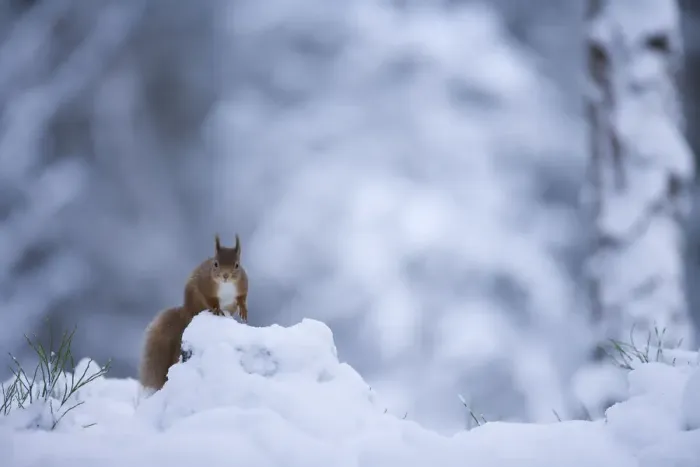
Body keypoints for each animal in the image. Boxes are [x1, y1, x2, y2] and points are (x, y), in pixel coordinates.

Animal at [138, 233, 249, 392]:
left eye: (237, 265)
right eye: (215, 264)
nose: (225, 275)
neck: (225, 285)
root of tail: (187, 312)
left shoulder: (242, 286)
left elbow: (242, 298)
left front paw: (244, 310)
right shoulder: (205, 285)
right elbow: (210, 299)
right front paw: (216, 308)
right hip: (194, 303)